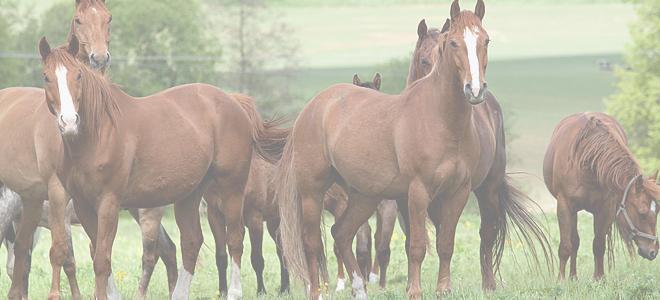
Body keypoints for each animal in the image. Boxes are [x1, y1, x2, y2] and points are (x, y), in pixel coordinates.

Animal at [35, 36, 284, 298]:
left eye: (78, 75)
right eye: (46, 76)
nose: (69, 121)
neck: (99, 135)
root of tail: (233, 101)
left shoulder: (109, 204)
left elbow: (102, 259)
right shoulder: (83, 206)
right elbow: (99, 255)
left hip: (231, 188)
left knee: (235, 238)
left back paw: (235, 292)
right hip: (190, 194)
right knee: (192, 241)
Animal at [278, 1, 552, 298]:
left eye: (486, 40)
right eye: (453, 43)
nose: (475, 90)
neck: (440, 119)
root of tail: (312, 108)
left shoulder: (457, 191)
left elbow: (445, 243)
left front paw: (443, 289)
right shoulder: (417, 192)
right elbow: (417, 245)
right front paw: (414, 291)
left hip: (371, 195)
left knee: (342, 234)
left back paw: (361, 289)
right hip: (312, 192)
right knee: (312, 243)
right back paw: (318, 291)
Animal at [544, 112, 656, 278]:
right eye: (642, 213)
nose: (653, 251)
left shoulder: (605, 209)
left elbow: (598, 245)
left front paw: (599, 278)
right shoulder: (564, 206)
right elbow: (566, 246)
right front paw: (561, 280)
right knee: (574, 242)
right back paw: (573, 276)